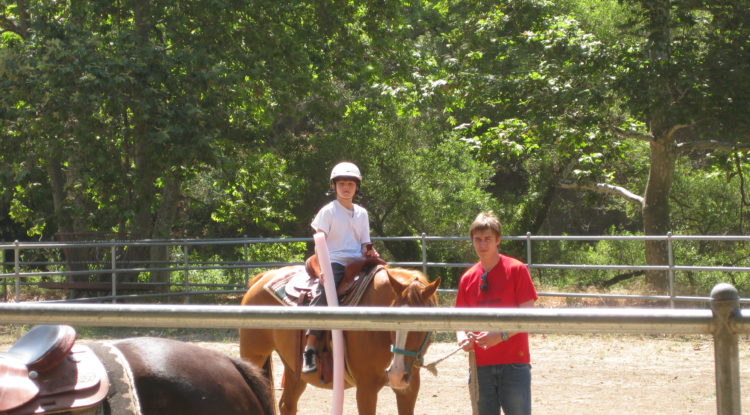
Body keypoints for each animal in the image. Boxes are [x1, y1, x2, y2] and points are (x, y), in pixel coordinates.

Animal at [239, 266, 440, 415]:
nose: (397, 374)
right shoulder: (366, 389)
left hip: (293, 369)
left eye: (422, 323)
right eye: (392, 319)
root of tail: (261, 278)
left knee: (287, 405)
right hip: (254, 356)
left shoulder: (410, 388)